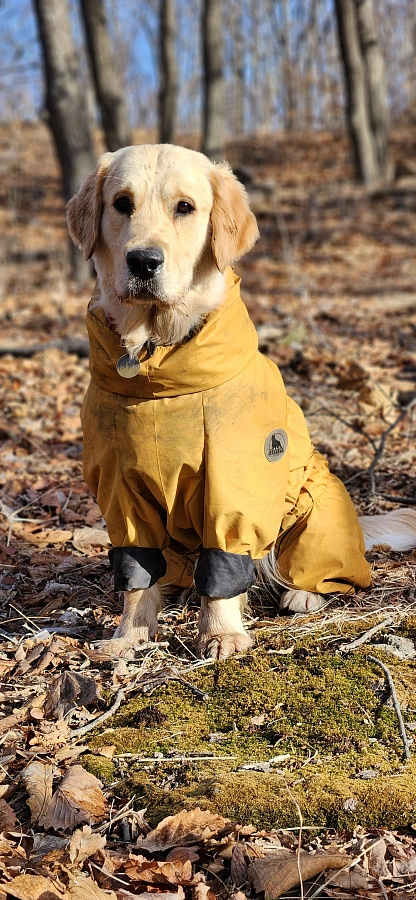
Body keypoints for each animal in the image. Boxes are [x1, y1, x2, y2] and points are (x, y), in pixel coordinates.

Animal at [66, 144, 416, 656]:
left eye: (185, 207)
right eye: (121, 204)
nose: (143, 261)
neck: (155, 364)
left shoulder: (234, 482)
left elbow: (226, 559)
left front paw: (222, 633)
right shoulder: (120, 490)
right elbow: (135, 569)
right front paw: (130, 634)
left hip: (315, 514)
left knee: (313, 574)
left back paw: (303, 595)